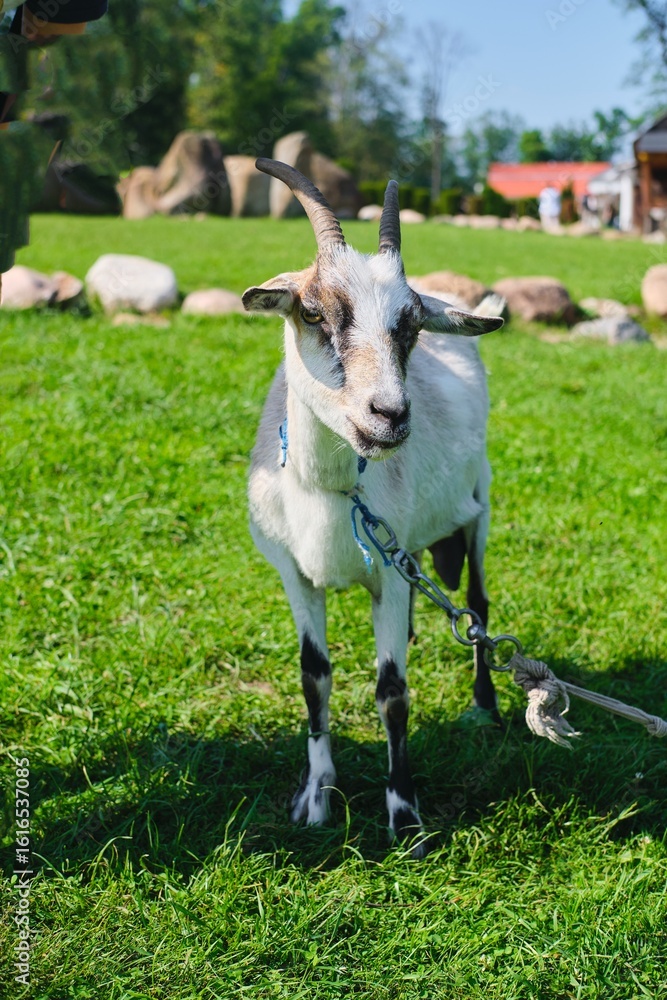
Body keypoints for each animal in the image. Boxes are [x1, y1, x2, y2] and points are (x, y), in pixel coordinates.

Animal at [243, 159, 504, 855]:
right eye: (312, 312)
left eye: (410, 326)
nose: (389, 415)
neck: (329, 491)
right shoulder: (295, 574)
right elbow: (314, 675)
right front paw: (316, 796)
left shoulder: (388, 570)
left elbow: (392, 691)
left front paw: (404, 815)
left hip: (478, 508)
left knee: (477, 604)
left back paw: (486, 706)